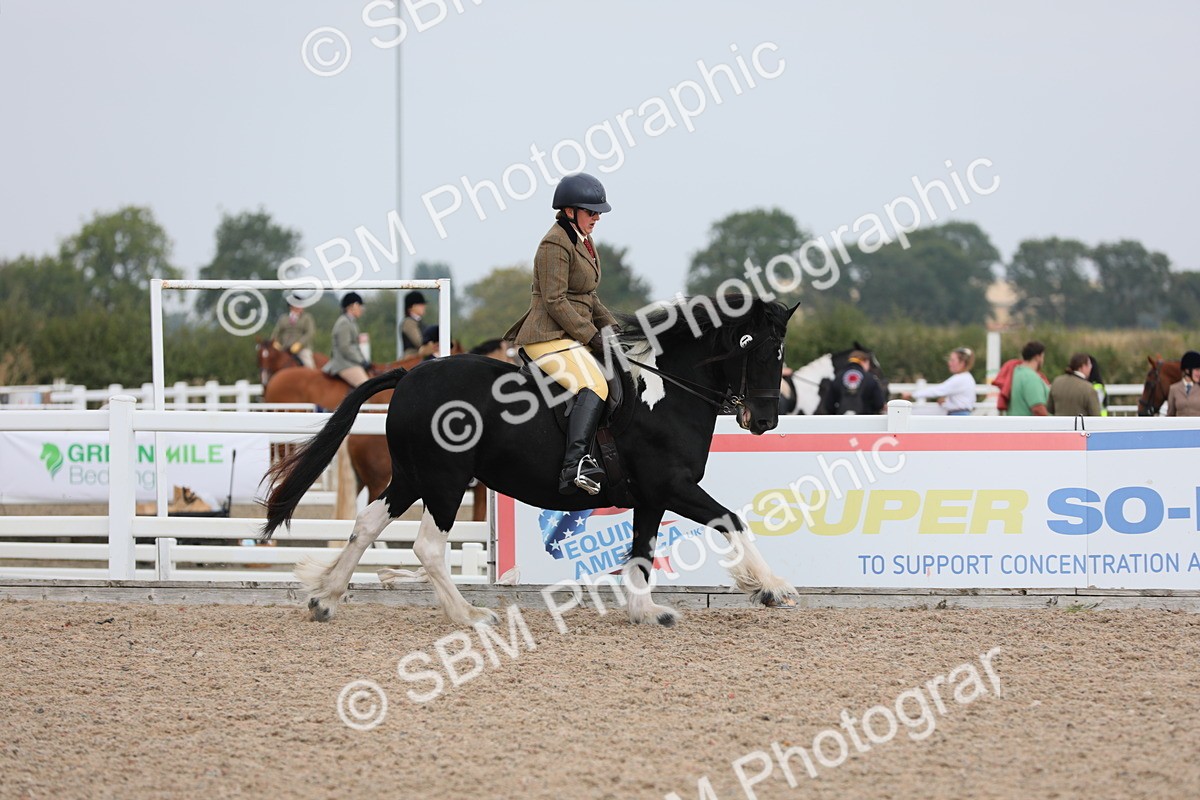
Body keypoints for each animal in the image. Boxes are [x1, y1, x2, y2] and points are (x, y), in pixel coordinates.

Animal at [261, 296, 800, 627]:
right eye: (759, 349)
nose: (764, 420)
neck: (666, 394)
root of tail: (410, 375)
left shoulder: (651, 497)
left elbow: (641, 552)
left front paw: (647, 612)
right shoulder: (673, 486)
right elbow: (731, 520)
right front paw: (772, 588)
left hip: (412, 476)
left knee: (368, 523)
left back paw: (326, 598)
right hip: (445, 480)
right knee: (428, 547)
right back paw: (470, 615)